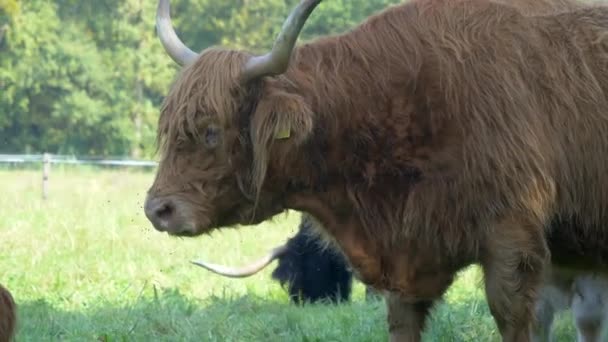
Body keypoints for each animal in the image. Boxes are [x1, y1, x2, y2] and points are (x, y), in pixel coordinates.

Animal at [144, 0, 608, 340]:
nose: (157, 210)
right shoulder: (404, 268)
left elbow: (517, 319)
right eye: (168, 129)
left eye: (210, 132)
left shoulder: (513, 240)